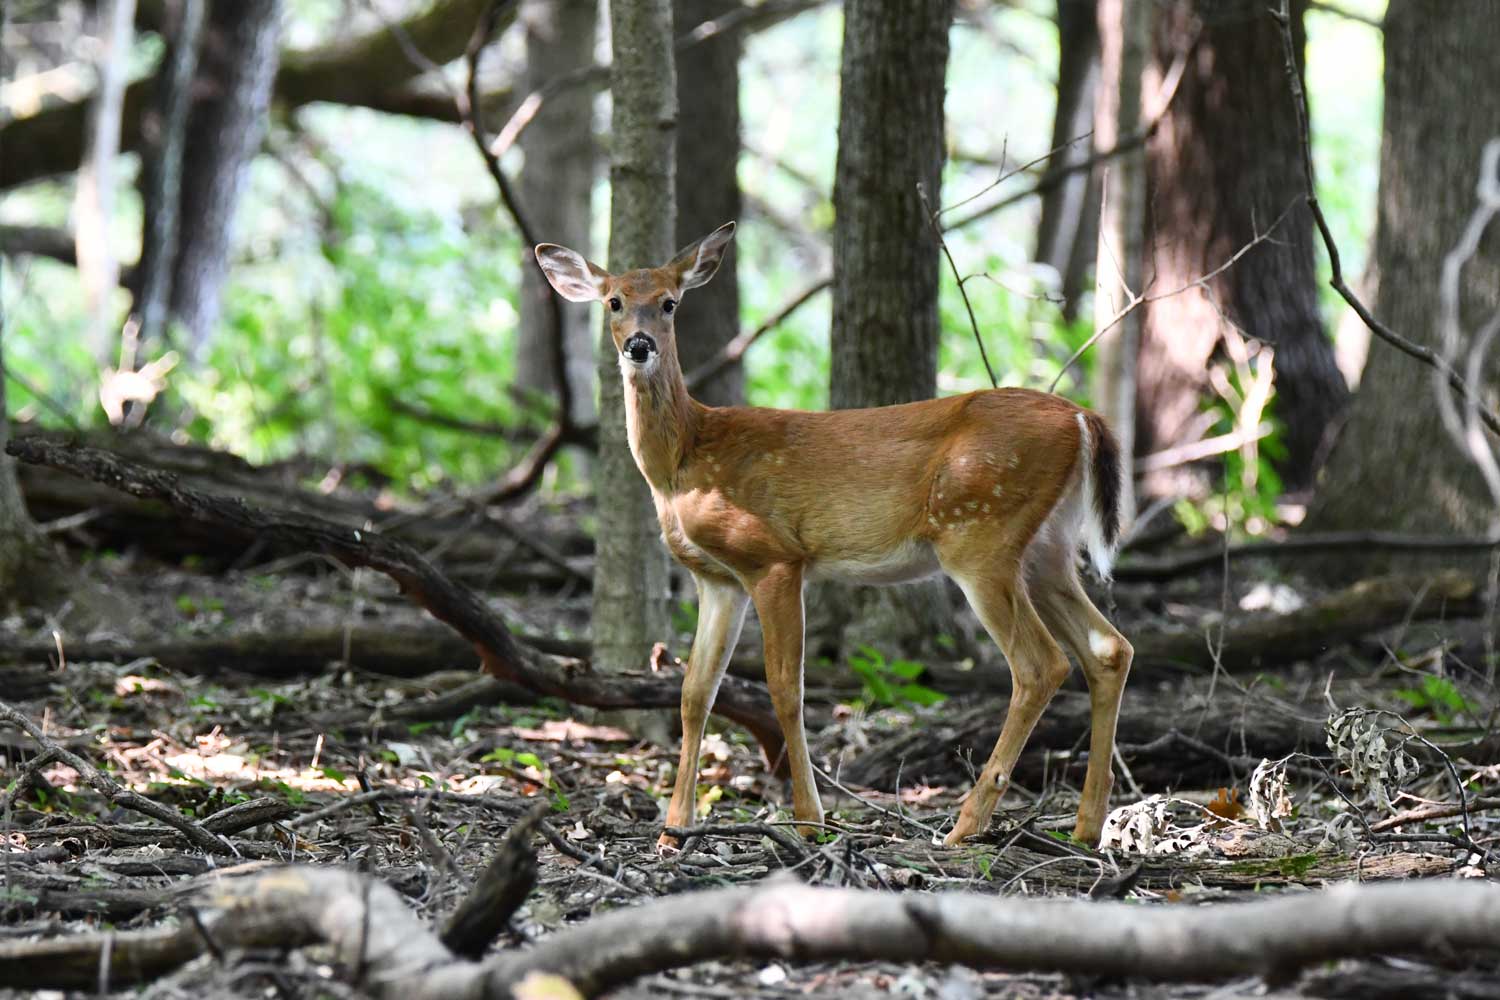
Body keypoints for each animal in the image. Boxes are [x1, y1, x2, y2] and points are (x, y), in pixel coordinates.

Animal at [534, 223, 1128, 851]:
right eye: (614, 301)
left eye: (670, 302)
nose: (640, 345)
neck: (684, 461)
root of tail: (1086, 420)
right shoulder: (717, 578)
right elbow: (695, 691)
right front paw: (675, 827)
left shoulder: (774, 557)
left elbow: (784, 688)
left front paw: (810, 818)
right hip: (1045, 547)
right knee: (1108, 648)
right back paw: (1086, 827)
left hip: (980, 534)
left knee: (1041, 665)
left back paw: (965, 826)